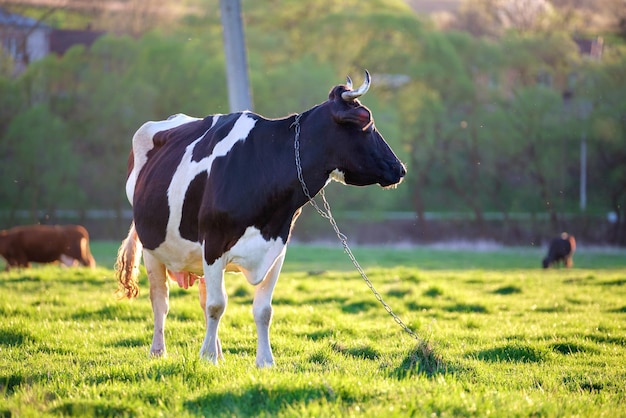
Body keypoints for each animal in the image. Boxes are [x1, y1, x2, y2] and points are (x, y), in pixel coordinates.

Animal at [114, 71, 402, 366]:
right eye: (365, 121)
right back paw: (159, 351)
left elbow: (262, 309)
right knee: (161, 300)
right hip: (153, 246)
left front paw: (264, 361)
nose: (399, 168)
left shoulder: (276, 248)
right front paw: (207, 357)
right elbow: (217, 305)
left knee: (202, 298)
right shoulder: (213, 244)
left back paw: (217, 350)